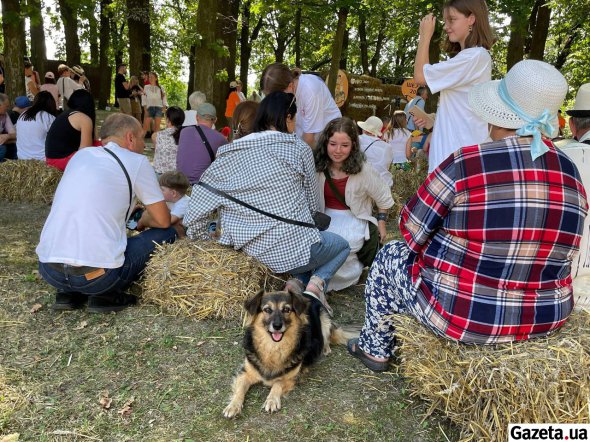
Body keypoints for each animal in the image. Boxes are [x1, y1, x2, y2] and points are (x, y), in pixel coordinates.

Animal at [222, 280, 352, 418]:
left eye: (286, 309)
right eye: (267, 310)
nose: (277, 326)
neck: (273, 347)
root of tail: (308, 295)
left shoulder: (290, 377)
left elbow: (277, 384)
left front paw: (272, 400)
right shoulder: (245, 372)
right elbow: (240, 390)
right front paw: (233, 405)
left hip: (324, 319)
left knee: (326, 337)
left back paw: (325, 349)